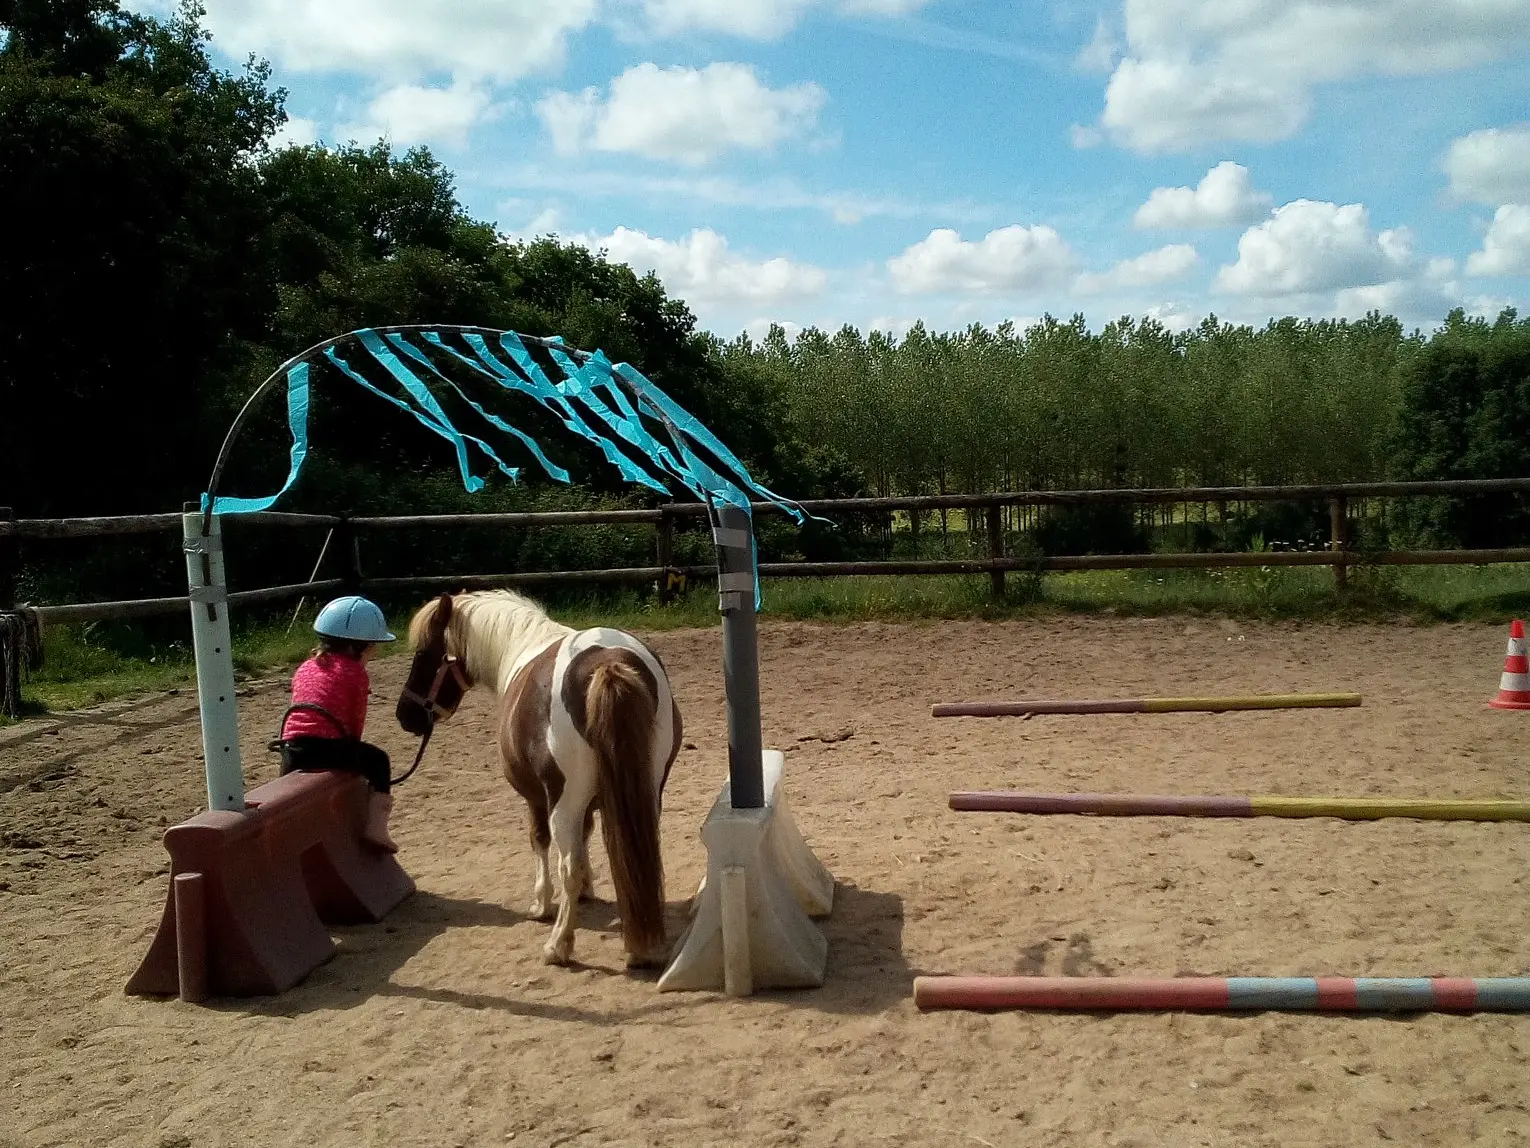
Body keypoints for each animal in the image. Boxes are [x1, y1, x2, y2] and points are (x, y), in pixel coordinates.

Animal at [394, 593, 682, 973]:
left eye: (424, 655)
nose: (404, 715)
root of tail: (607, 663)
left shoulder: (534, 796)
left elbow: (540, 841)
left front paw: (542, 905)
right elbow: (587, 838)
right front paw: (588, 890)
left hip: (563, 800)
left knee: (567, 866)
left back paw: (559, 945)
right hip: (646, 792)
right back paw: (642, 947)